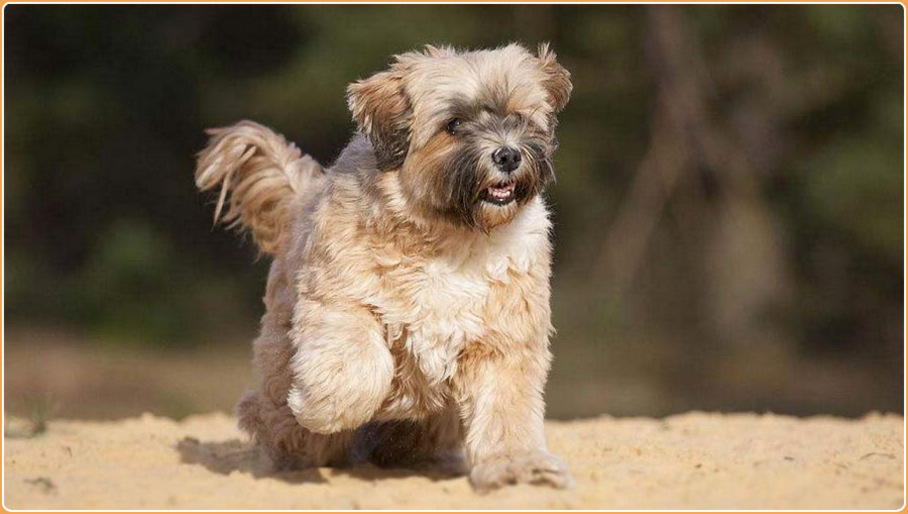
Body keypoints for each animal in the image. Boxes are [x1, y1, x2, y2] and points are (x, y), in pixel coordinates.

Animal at [194, 43, 572, 488]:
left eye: (518, 117)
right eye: (453, 124)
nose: (508, 154)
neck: (451, 238)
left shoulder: (504, 340)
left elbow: (506, 409)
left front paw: (519, 466)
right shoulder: (341, 301)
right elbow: (356, 368)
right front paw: (323, 407)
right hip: (282, 357)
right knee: (270, 414)